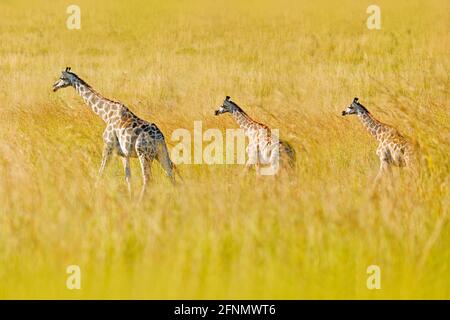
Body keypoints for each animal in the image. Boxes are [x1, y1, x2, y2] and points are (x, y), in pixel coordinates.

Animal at [53, 67, 178, 200]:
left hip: (144, 154)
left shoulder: (108, 146)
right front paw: (129, 196)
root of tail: (159, 138)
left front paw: (94, 192)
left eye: (61, 78)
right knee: (170, 172)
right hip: (161, 153)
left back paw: (141, 201)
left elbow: (101, 171)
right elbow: (128, 177)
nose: (54, 86)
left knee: (147, 178)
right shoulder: (123, 154)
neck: (106, 114)